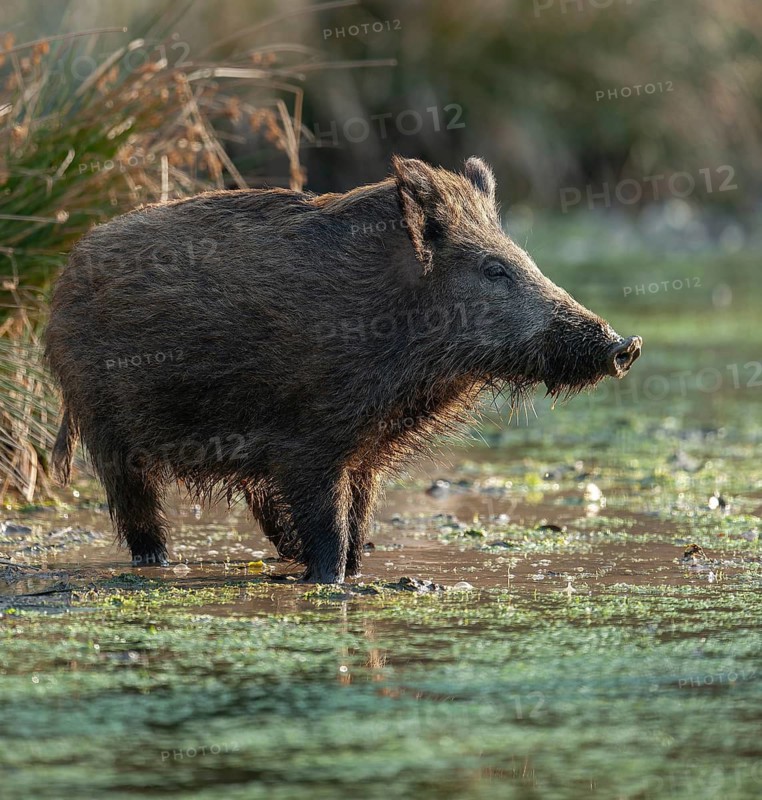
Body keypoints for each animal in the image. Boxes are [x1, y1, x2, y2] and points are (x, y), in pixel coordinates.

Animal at [44, 156, 642, 583]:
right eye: (494, 269)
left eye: (524, 258)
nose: (626, 345)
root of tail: (63, 278)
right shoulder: (310, 443)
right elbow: (329, 530)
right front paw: (331, 583)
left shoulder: (365, 453)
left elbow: (357, 524)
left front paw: (356, 573)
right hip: (107, 427)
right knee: (138, 513)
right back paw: (156, 563)